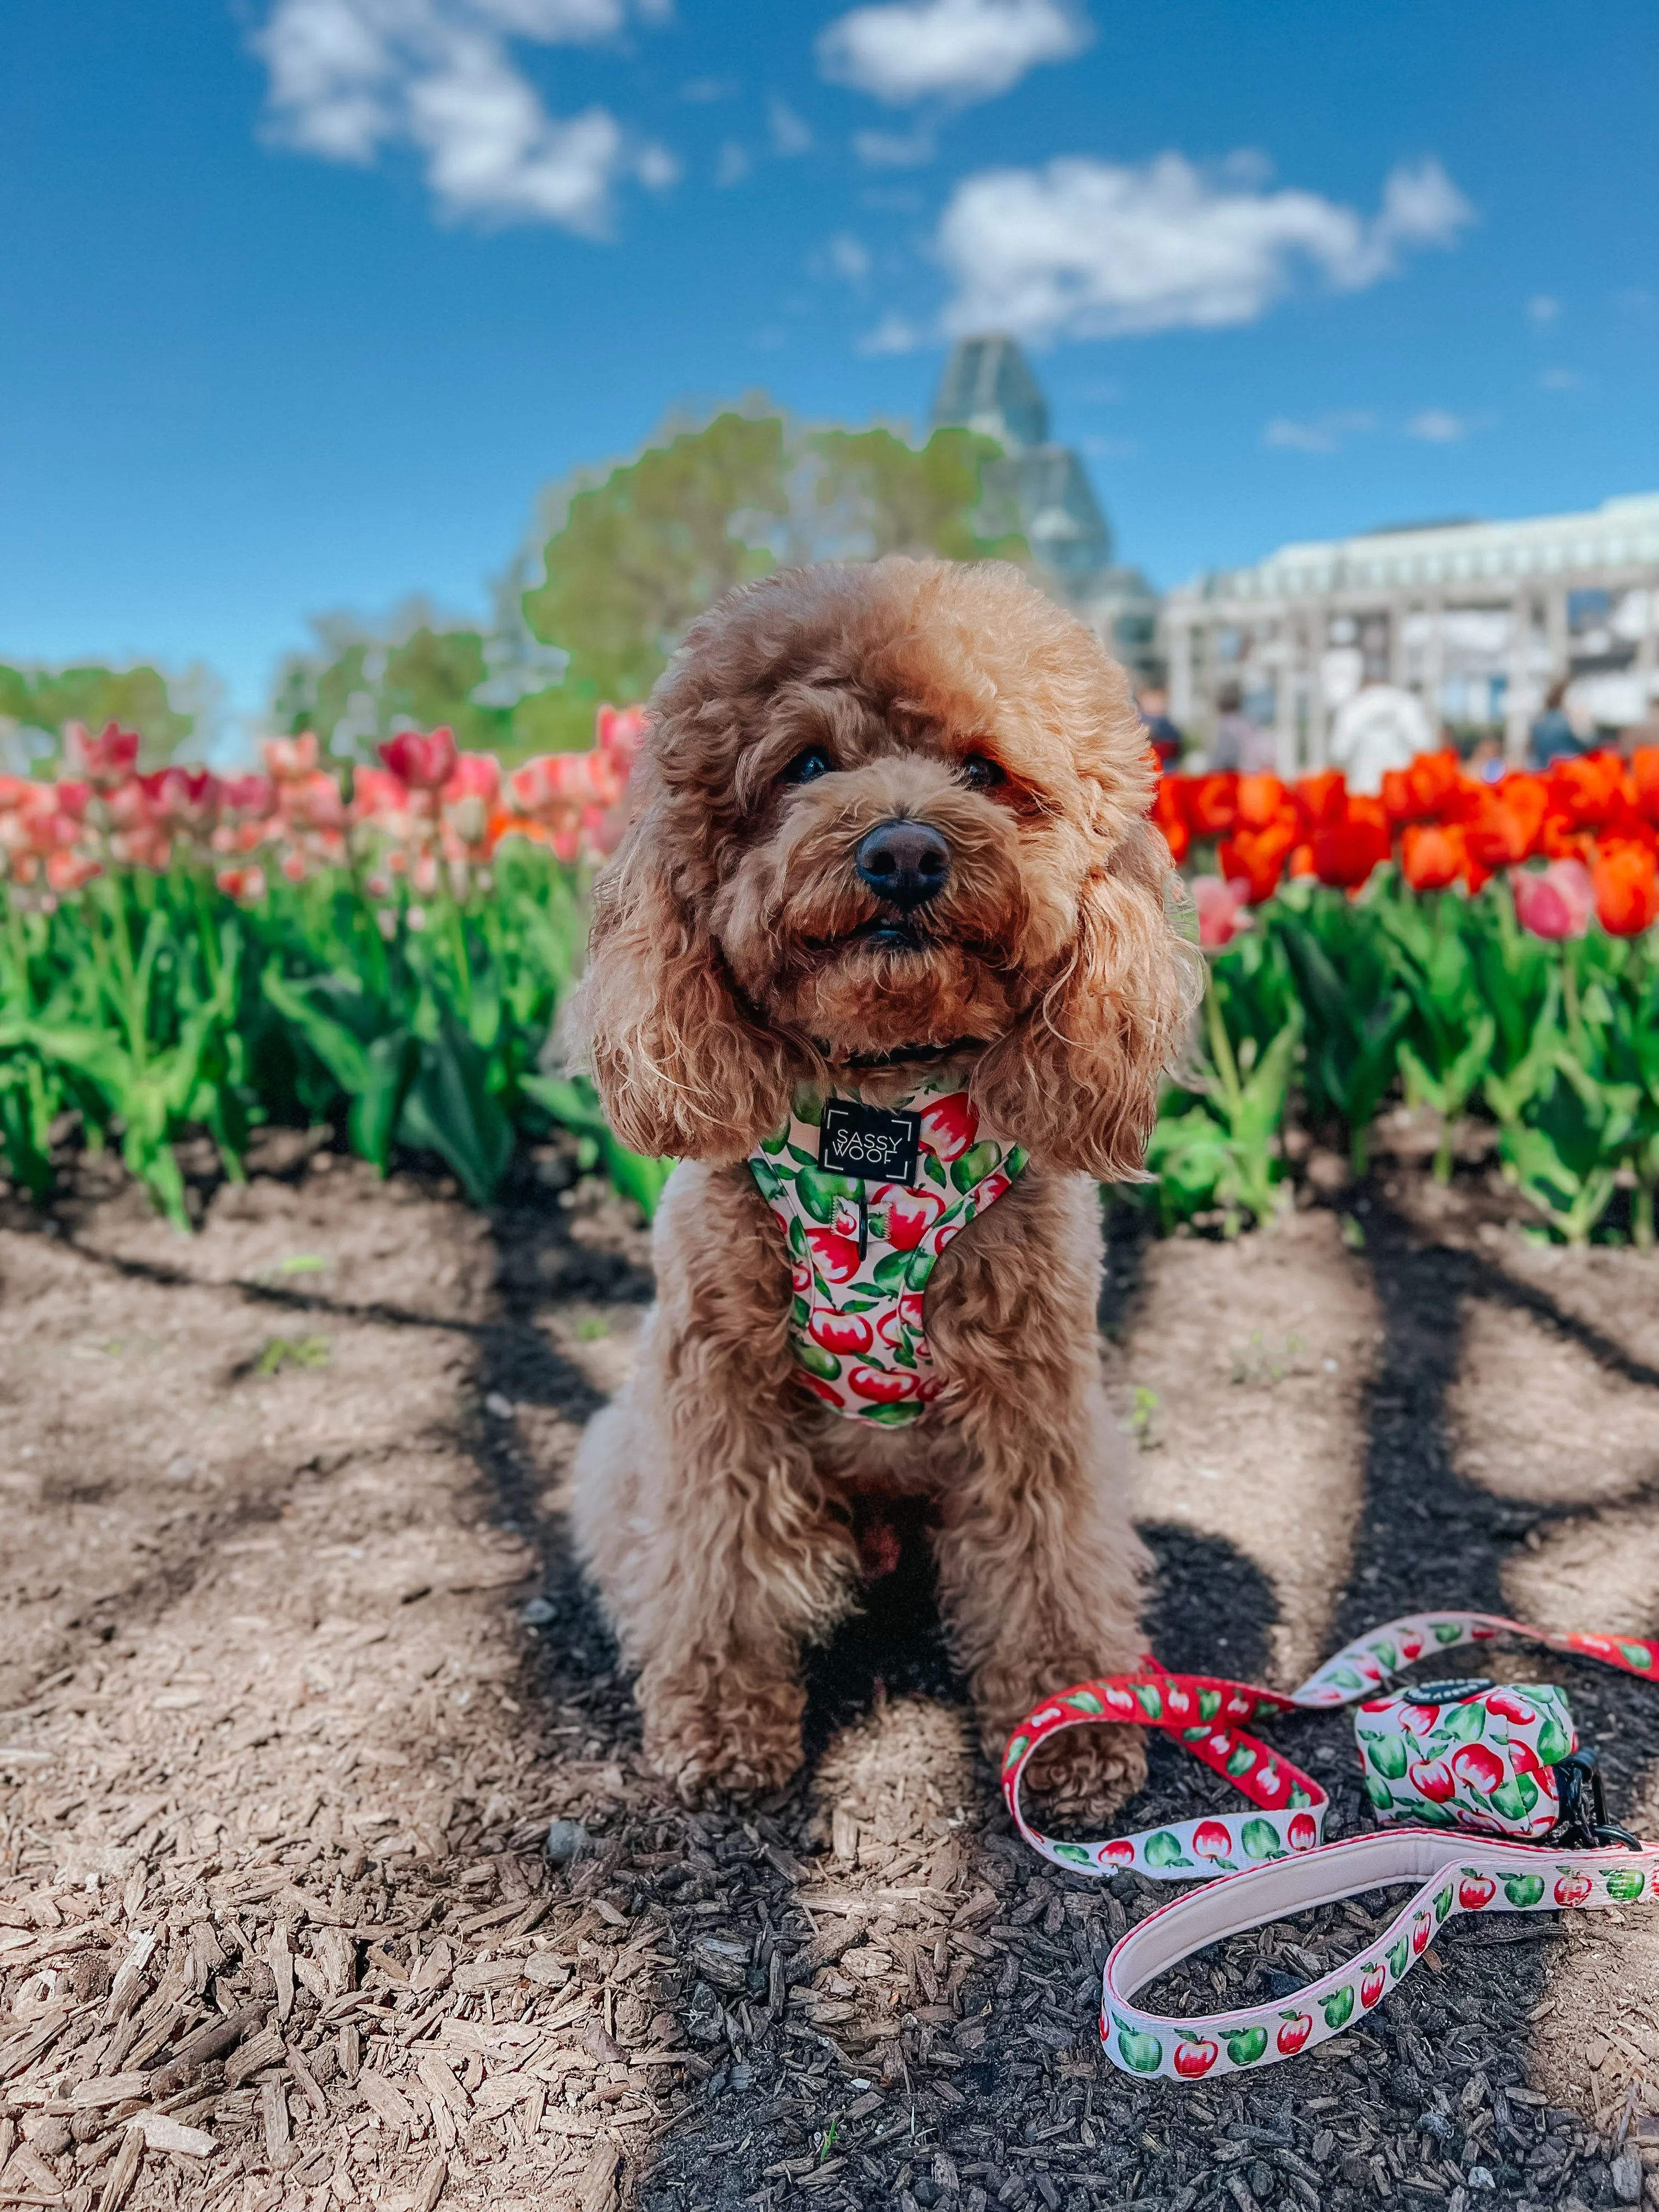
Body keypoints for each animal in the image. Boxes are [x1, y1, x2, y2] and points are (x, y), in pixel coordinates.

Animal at [571, 557, 1194, 1814]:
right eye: (807, 764)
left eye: (985, 770)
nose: (904, 852)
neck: (883, 1111)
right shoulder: (718, 1385)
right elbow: (718, 1561)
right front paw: (724, 1724)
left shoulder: (1032, 1394)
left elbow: (1046, 1561)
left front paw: (1068, 1728)